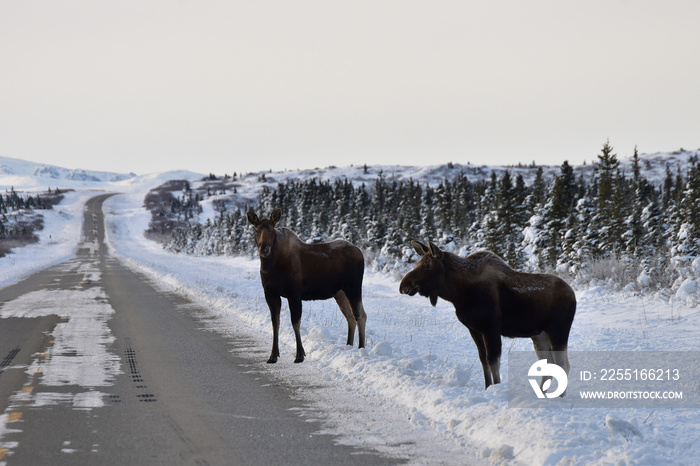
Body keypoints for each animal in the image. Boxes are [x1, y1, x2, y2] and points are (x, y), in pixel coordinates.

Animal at [246, 208, 366, 364]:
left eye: (272, 229)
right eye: (256, 229)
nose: (264, 249)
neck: (270, 267)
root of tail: (360, 252)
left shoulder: (294, 294)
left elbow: (295, 322)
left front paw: (300, 355)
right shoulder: (270, 293)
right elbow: (275, 323)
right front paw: (273, 355)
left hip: (353, 287)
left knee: (360, 315)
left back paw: (361, 348)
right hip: (340, 292)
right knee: (350, 317)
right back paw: (349, 346)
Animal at [396, 242, 576, 392]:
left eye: (427, 265)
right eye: (419, 263)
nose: (404, 285)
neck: (457, 293)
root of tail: (572, 294)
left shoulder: (491, 328)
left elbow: (493, 361)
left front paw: (495, 388)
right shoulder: (474, 330)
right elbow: (483, 360)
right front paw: (487, 387)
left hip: (559, 331)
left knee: (564, 365)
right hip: (540, 335)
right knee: (550, 365)